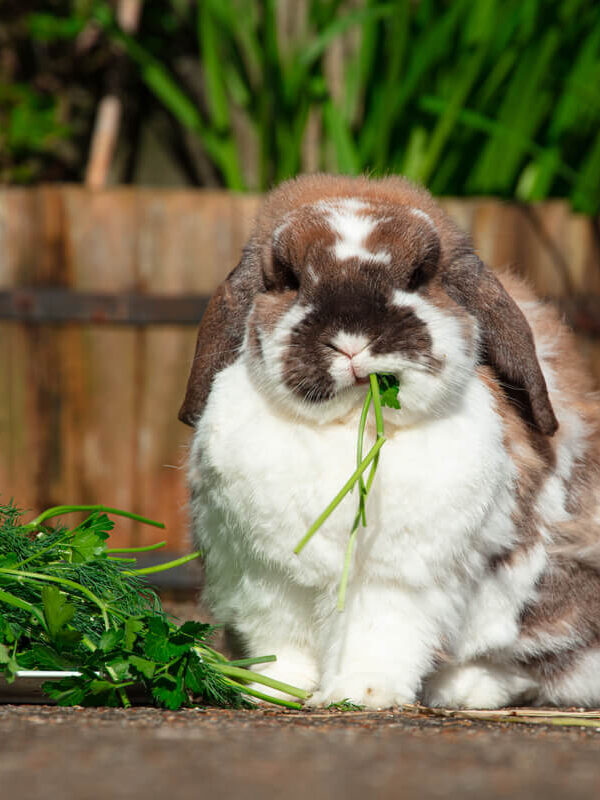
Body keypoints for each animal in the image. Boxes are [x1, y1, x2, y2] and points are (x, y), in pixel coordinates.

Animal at [179, 173, 600, 709]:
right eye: (289, 279)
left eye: (419, 275)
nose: (352, 338)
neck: (347, 432)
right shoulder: (268, 579)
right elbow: (284, 644)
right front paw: (272, 690)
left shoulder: (393, 583)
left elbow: (376, 639)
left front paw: (360, 695)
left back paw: (464, 690)